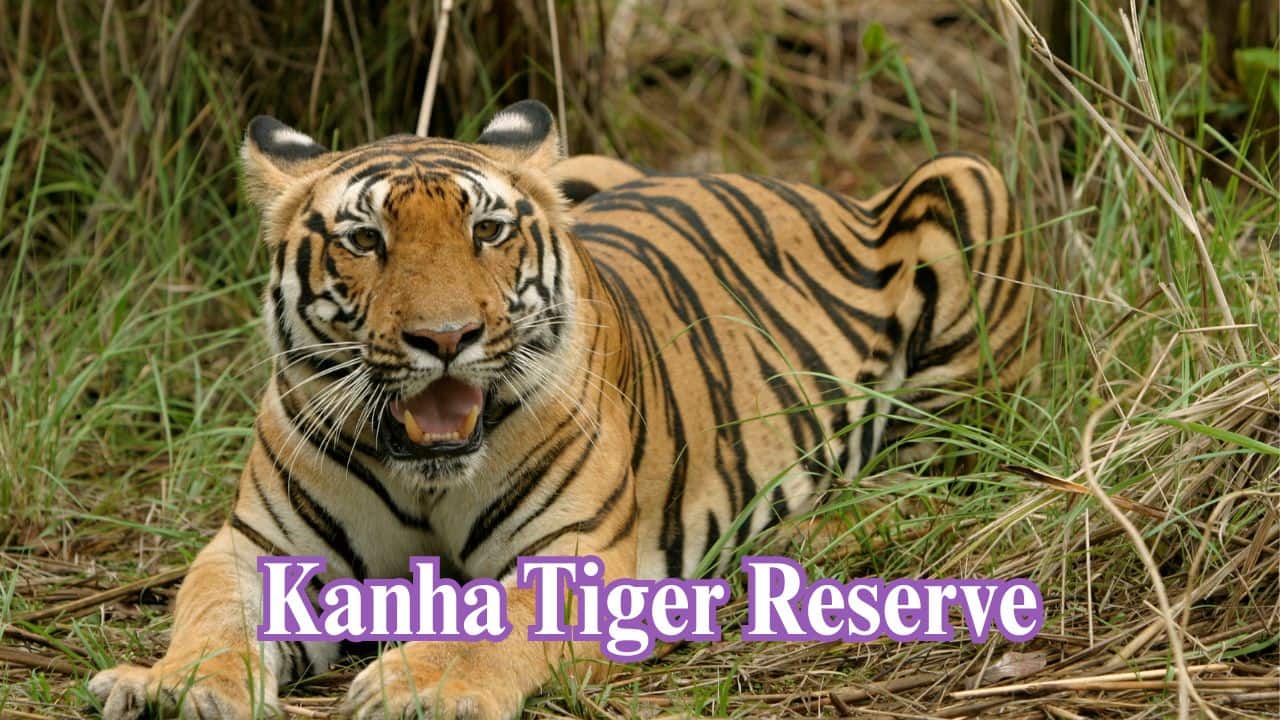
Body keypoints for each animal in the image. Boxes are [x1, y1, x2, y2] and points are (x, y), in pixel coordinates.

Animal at [89, 99, 1037, 719]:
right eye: (365, 241)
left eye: (488, 232)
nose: (445, 337)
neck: (427, 474)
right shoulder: (260, 547)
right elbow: (212, 617)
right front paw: (170, 687)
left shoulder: (577, 554)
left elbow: (497, 619)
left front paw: (420, 688)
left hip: (971, 188)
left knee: (962, 455)